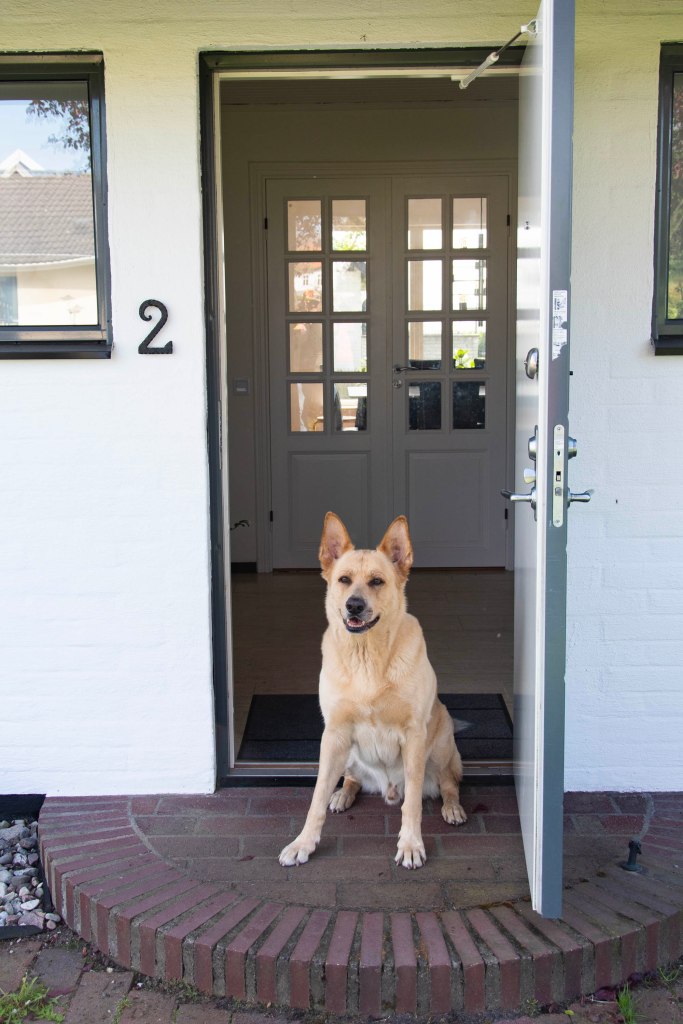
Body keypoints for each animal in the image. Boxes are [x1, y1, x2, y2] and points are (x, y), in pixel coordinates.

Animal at [278, 512, 467, 870]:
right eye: (344, 579)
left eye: (377, 581)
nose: (354, 605)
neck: (366, 656)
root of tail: (386, 787)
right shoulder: (334, 733)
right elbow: (316, 797)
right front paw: (303, 842)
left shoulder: (414, 735)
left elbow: (413, 804)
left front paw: (410, 844)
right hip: (347, 753)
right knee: (351, 779)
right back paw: (342, 794)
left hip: (439, 745)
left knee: (448, 783)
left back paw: (451, 807)